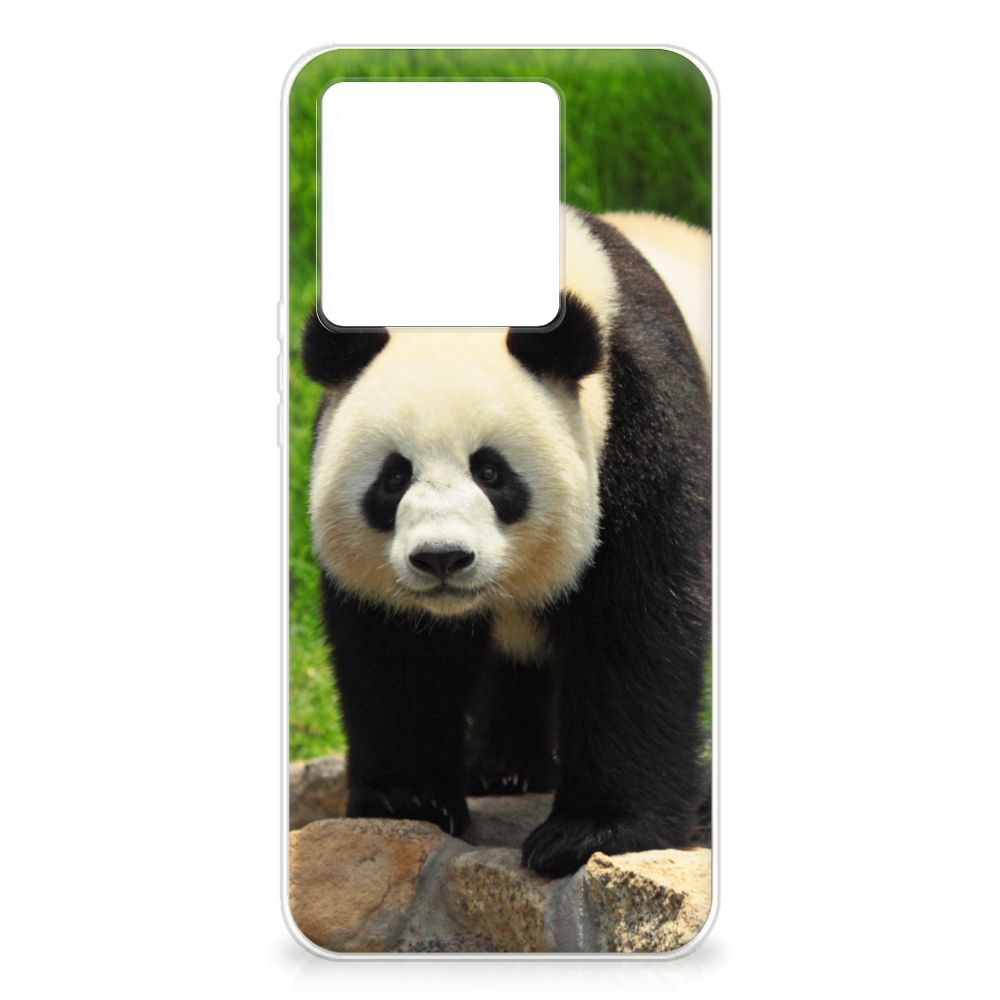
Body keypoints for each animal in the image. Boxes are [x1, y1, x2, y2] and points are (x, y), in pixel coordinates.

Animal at [301, 205, 711, 877]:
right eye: (393, 476)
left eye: (491, 472)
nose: (442, 558)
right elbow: (397, 649)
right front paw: (408, 800)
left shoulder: (641, 423)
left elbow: (637, 624)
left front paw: (589, 833)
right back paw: (504, 769)